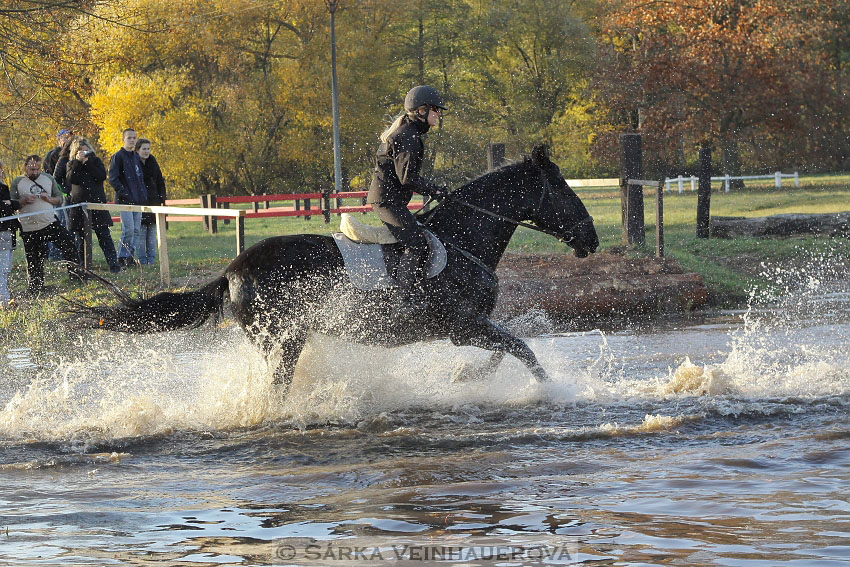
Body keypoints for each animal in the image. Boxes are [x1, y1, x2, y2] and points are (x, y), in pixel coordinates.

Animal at [68, 146, 596, 390]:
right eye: (563, 189)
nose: (590, 238)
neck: (463, 241)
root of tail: (232, 272)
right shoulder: (463, 326)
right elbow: (522, 349)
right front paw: (551, 393)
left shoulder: (468, 328)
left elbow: (509, 350)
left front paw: (467, 379)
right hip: (284, 340)